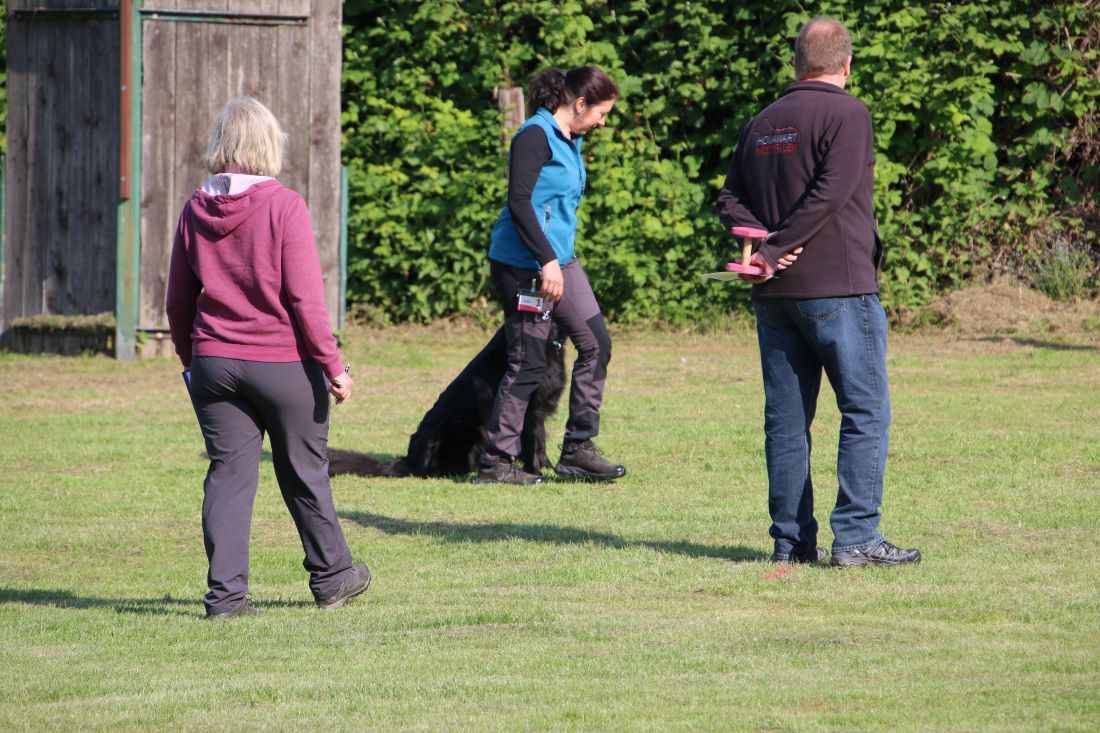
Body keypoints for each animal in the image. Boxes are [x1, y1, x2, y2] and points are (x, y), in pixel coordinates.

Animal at [325, 323, 567, 477]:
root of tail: (409, 460)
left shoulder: (540, 410)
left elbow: (540, 441)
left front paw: (547, 466)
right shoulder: (528, 410)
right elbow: (532, 442)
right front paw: (535, 471)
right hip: (466, 433)